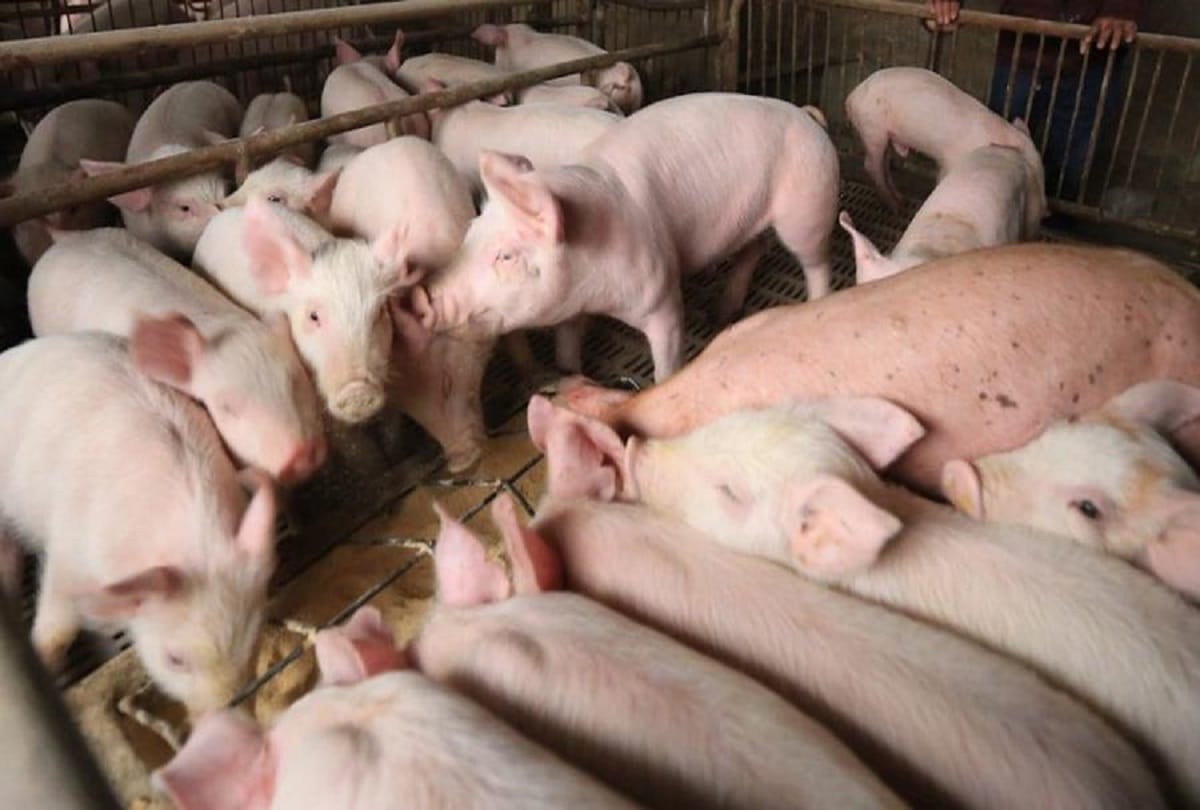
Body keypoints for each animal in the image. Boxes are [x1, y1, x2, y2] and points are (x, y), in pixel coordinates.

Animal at [845, 67, 1046, 213]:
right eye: (1031, 171)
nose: (1046, 210)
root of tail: (851, 96)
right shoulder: (951, 160)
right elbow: (942, 177)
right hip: (873, 128)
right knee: (872, 165)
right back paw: (895, 208)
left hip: (884, 134)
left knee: (884, 165)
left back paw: (900, 201)